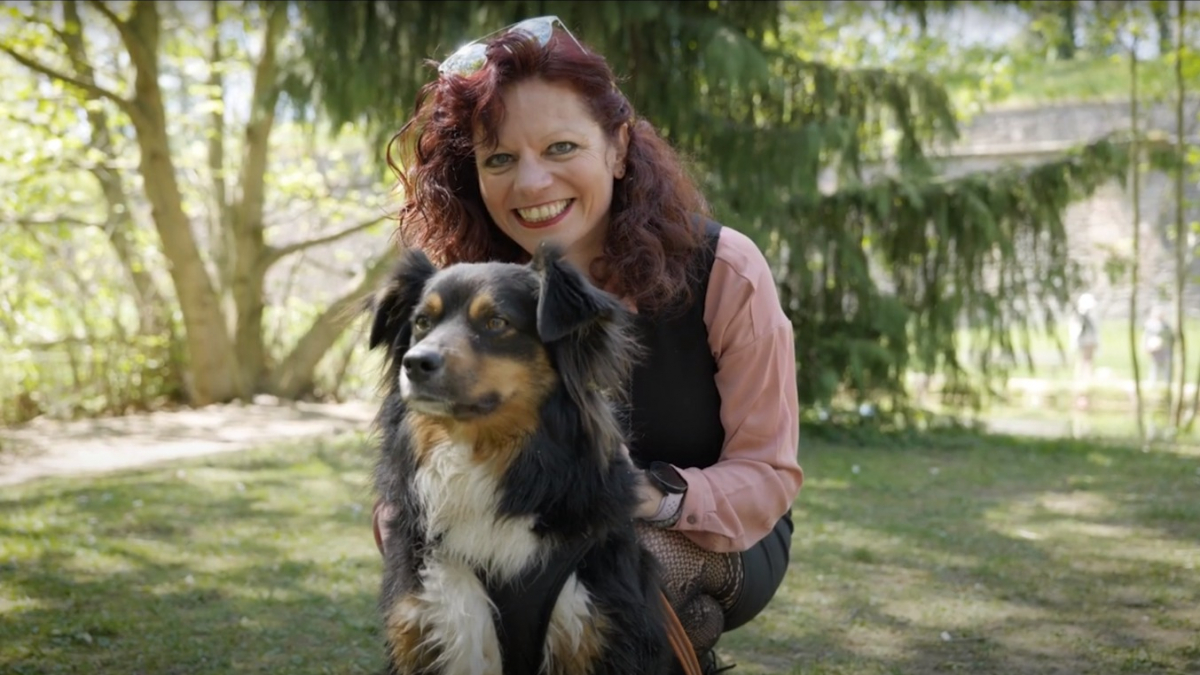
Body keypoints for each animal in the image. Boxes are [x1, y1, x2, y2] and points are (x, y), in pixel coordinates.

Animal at [364, 242, 676, 672]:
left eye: (496, 322)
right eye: (422, 322)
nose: (415, 363)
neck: (477, 454)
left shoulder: (597, 627)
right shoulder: (426, 621)